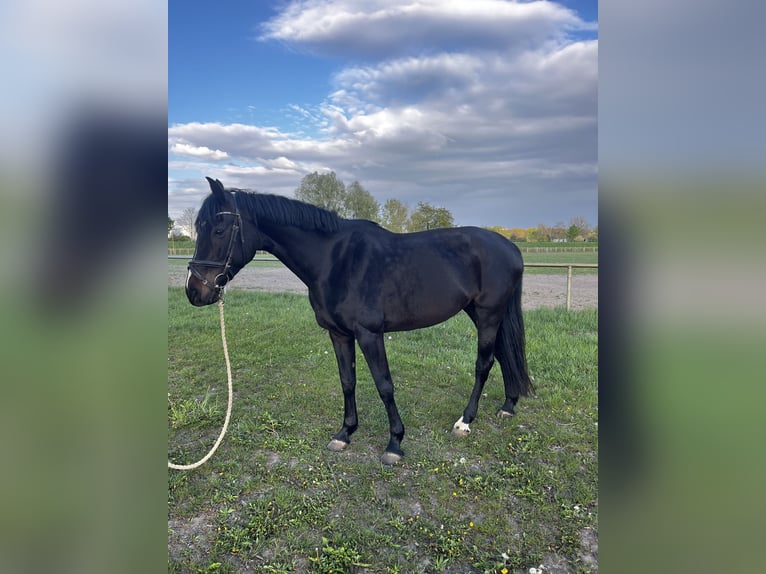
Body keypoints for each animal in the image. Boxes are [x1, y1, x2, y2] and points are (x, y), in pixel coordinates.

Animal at [188, 178, 536, 466]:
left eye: (218, 230)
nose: (194, 291)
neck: (334, 259)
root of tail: (511, 247)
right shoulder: (339, 334)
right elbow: (348, 381)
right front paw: (345, 433)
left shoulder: (370, 334)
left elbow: (384, 385)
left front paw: (395, 444)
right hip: (481, 314)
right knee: (503, 355)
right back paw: (508, 405)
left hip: (488, 315)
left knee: (483, 364)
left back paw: (464, 422)